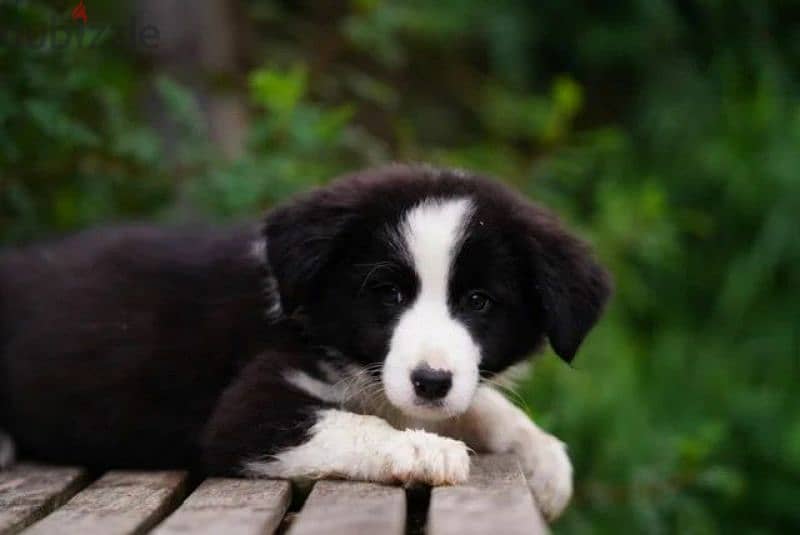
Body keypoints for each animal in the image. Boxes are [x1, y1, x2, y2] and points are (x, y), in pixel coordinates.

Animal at [0, 166, 608, 520]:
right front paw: (422, 450)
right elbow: (354, 424)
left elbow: (480, 404)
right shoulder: (247, 412)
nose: (430, 382)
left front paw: (545, 461)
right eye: (388, 293)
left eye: (479, 301)